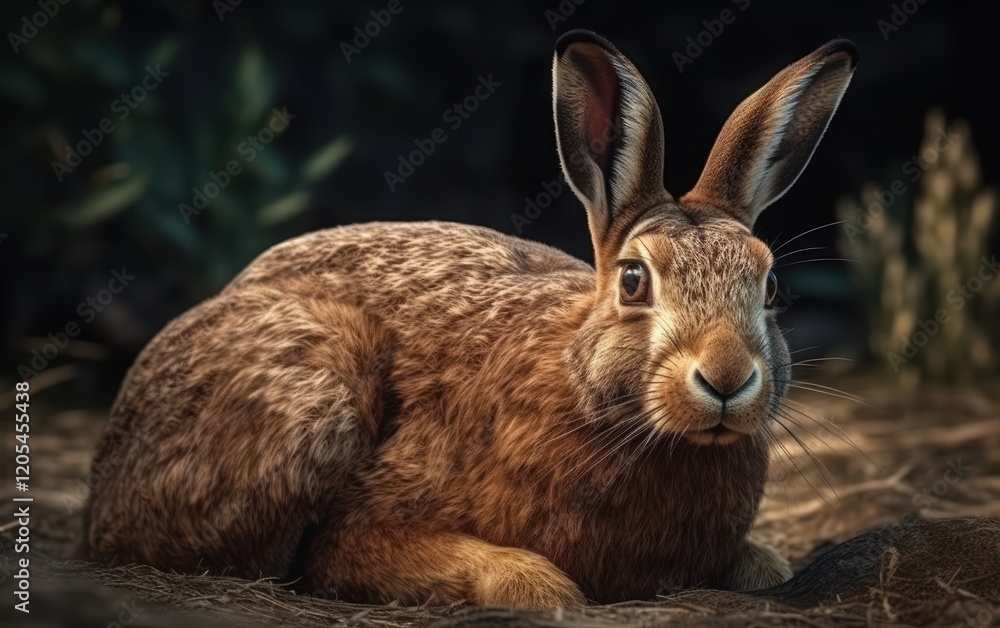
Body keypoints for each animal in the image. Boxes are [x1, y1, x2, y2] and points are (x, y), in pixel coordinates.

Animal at [83, 30, 858, 608]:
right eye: (635, 280)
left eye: (771, 285)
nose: (727, 378)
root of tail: (103, 479)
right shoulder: (367, 522)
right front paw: (539, 587)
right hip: (314, 393)